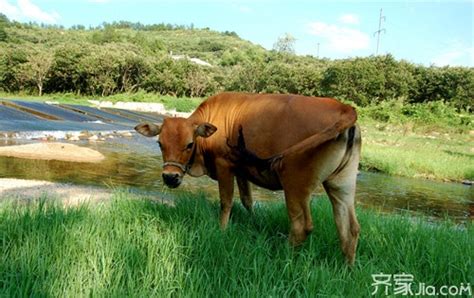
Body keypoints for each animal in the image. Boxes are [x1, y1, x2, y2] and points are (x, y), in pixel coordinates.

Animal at [135, 92, 362, 264]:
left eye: (189, 144)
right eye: (160, 143)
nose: (170, 177)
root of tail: (344, 108)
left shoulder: (224, 166)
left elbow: (226, 202)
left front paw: (222, 230)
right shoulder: (241, 171)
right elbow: (247, 200)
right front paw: (254, 222)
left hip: (295, 184)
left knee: (301, 226)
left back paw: (284, 258)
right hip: (341, 185)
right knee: (349, 228)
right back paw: (346, 269)